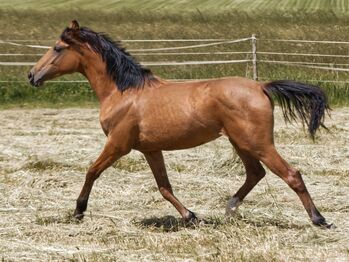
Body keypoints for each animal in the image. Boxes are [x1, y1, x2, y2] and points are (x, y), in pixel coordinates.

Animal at [28, 21, 330, 227]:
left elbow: (92, 171)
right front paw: (191, 216)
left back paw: (319, 219)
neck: (124, 92)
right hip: (241, 142)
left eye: (57, 48)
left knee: (291, 174)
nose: (32, 75)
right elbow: (164, 187)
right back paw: (230, 208)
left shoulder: (118, 144)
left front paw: (78, 211)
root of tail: (261, 86)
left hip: (258, 142)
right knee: (255, 173)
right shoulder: (150, 149)